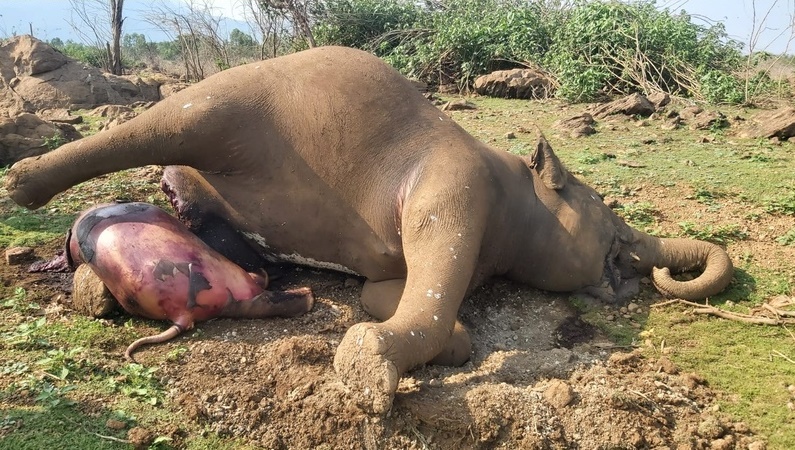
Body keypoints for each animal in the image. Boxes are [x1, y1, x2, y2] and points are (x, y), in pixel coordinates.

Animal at [4, 46, 733, 413]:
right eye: (607, 211)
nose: (639, 262)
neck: (516, 189)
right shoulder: (457, 186)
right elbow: (433, 320)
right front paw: (367, 373)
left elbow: (394, 295)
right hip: (225, 103)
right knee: (170, 123)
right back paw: (23, 184)